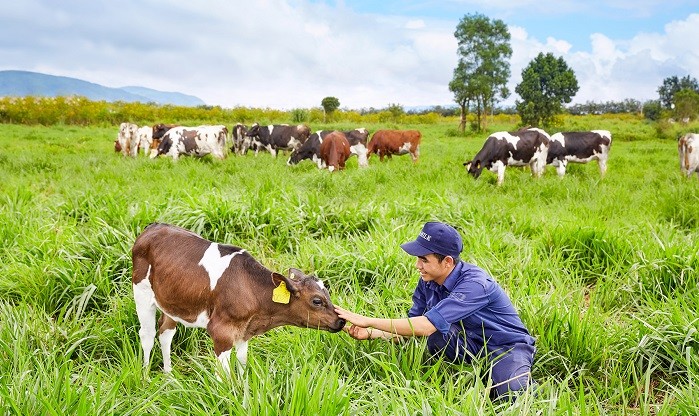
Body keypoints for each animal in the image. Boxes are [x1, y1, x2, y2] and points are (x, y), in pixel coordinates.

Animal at [131, 223, 348, 376]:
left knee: (165, 332)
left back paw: (168, 375)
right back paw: (146, 376)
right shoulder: (221, 331)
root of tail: (154, 226)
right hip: (141, 292)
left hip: (172, 299)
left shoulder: (244, 332)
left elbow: (243, 364)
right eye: (317, 301)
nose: (341, 321)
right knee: (147, 335)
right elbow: (224, 375)